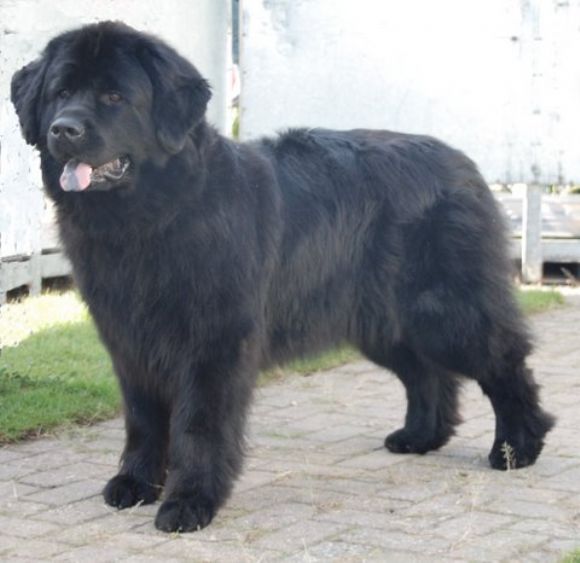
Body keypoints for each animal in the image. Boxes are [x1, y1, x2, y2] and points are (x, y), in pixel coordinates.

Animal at [11, 21, 554, 532]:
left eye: (114, 97)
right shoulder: (129, 339)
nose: (63, 130)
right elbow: (143, 419)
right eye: (60, 92)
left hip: (446, 310)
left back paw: (517, 447)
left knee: (504, 364)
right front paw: (135, 483)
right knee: (428, 375)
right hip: (382, 319)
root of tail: (464, 163)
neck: (155, 217)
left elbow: (199, 424)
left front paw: (190, 502)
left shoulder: (214, 343)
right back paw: (420, 437)